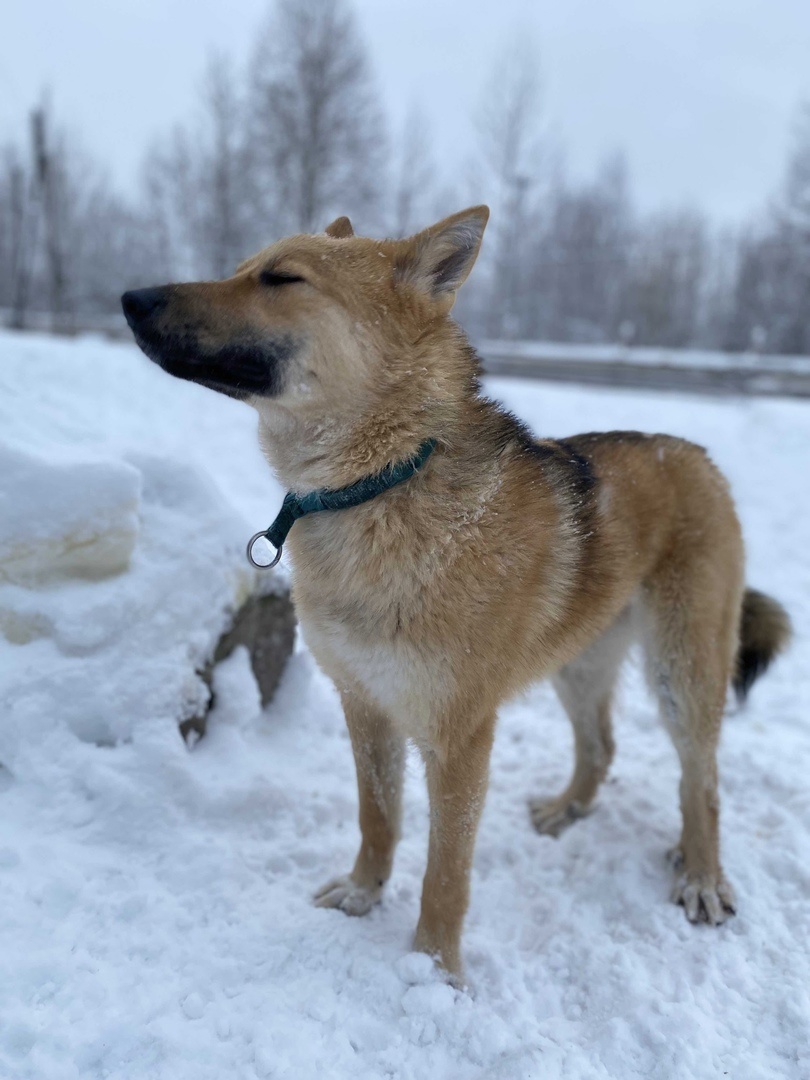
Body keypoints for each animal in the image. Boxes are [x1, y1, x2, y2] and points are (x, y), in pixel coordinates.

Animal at [120, 206, 794, 984]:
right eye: (239, 268)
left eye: (282, 278)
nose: (131, 298)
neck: (380, 485)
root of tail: (696, 455)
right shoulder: (366, 705)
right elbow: (378, 817)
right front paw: (364, 894)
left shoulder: (459, 734)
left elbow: (447, 869)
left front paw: (433, 970)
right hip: (580, 663)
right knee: (601, 745)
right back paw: (568, 811)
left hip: (682, 673)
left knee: (702, 782)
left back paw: (703, 876)